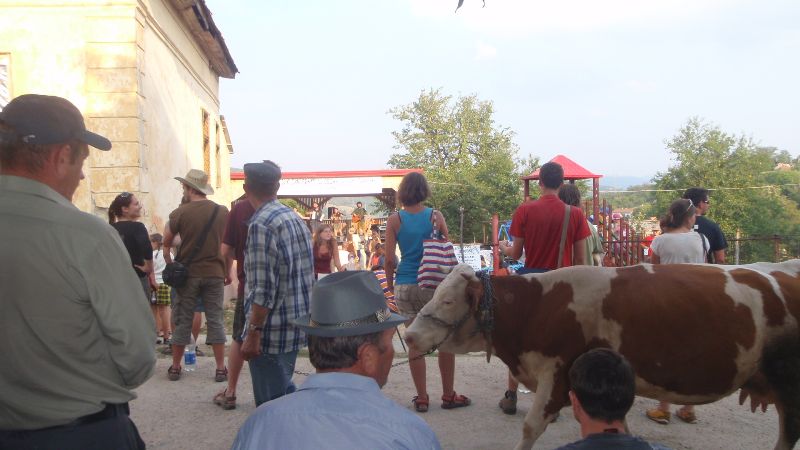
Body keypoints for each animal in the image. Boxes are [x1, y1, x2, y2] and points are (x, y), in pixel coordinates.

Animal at [404, 261, 800, 450]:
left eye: (448, 300)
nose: (409, 335)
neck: (539, 306)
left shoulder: (558, 373)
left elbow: (530, 427)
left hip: (789, 385)